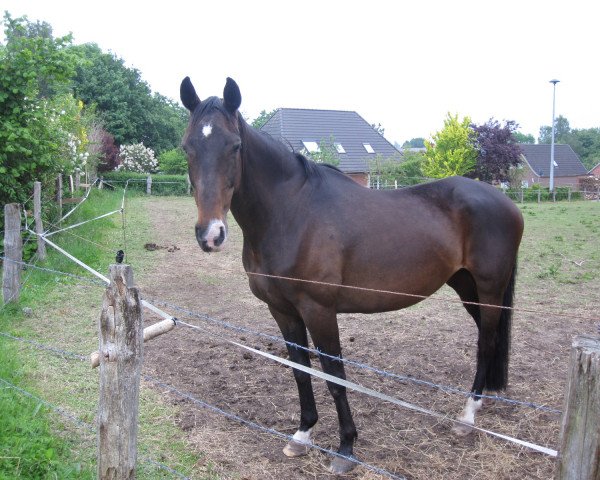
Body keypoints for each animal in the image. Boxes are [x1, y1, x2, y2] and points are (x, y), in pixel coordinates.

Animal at [179, 77, 524, 474]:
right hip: (467, 287)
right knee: (489, 337)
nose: (211, 234)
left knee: (487, 342)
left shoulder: (319, 310)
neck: (290, 213)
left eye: (234, 146)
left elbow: (334, 375)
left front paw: (346, 449)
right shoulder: (282, 311)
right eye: (187, 147)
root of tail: (506, 201)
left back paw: (467, 417)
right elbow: (300, 371)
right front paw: (302, 436)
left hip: (489, 288)